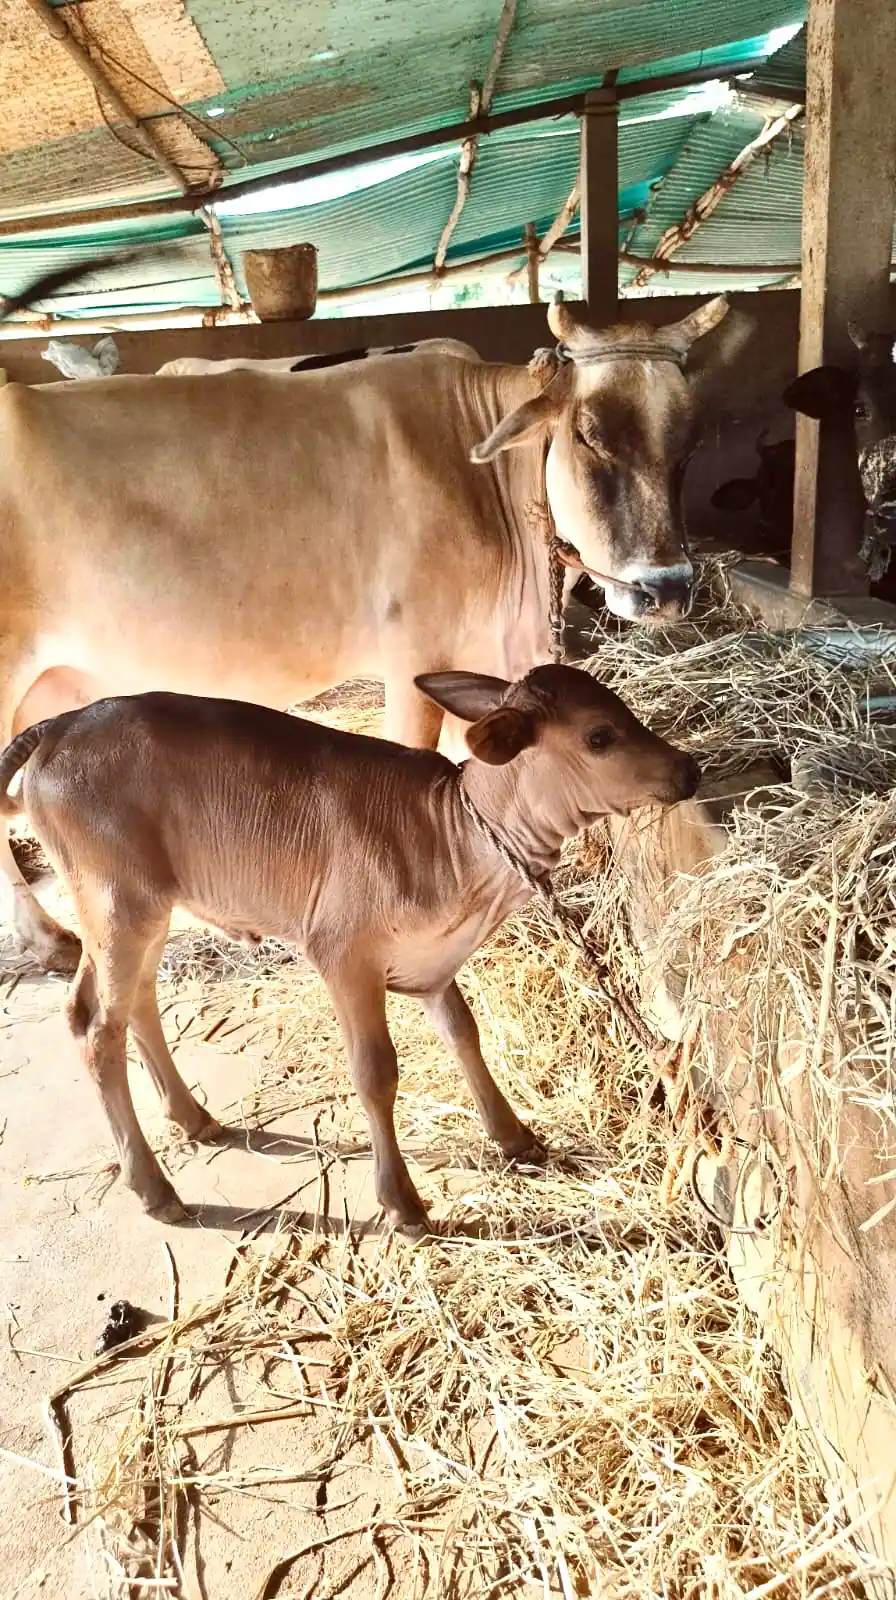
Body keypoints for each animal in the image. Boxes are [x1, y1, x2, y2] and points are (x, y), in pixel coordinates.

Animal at [0, 665, 700, 1229]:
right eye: (599, 737)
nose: (689, 770)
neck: (456, 842)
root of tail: (58, 725)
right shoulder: (342, 953)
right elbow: (375, 1072)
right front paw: (403, 1204)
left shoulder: (431, 960)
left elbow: (463, 1032)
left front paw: (514, 1137)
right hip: (115, 901)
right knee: (96, 1027)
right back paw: (155, 1188)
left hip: (143, 907)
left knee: (131, 1002)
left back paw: (194, 1118)